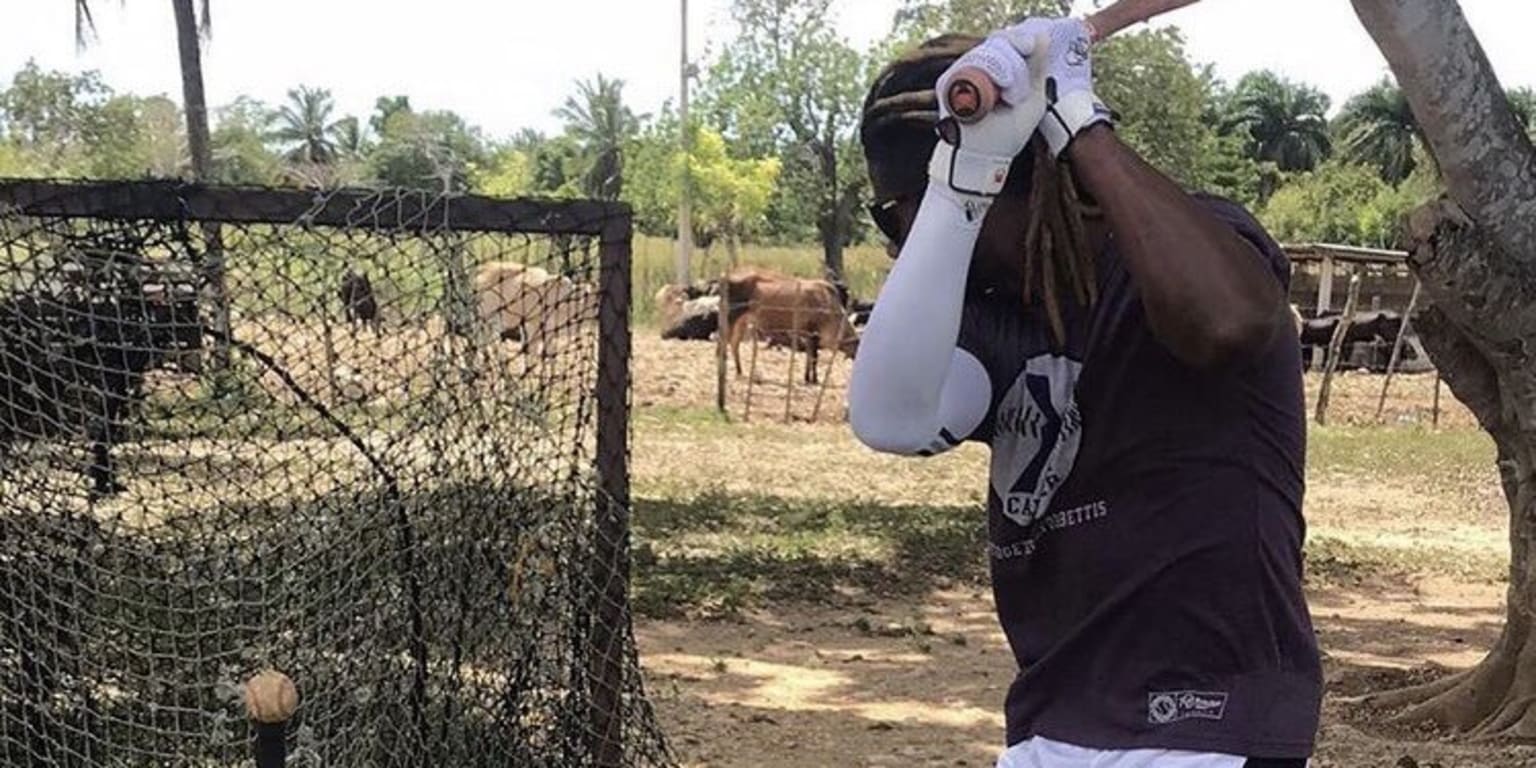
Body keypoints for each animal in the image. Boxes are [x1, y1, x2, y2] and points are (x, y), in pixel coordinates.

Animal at [724, 268, 860, 387]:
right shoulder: (812, 334)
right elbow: (814, 358)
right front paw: (814, 379)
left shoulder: (808, 337)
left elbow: (809, 357)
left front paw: (807, 378)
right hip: (730, 319)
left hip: (742, 323)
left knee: (734, 344)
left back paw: (740, 371)